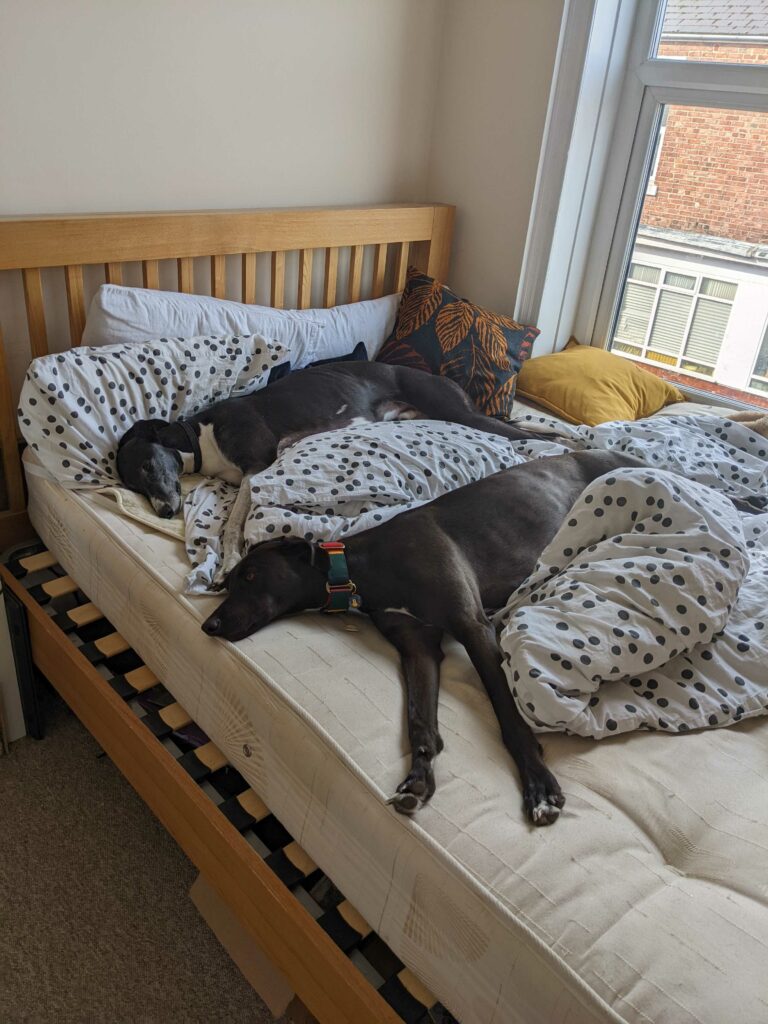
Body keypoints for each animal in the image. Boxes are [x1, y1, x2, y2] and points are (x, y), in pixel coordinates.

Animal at [118, 364, 540, 577]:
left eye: (148, 465)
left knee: (531, 435)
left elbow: (235, 520)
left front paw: (232, 557)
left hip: (457, 411)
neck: (200, 436)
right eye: (134, 485)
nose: (165, 512)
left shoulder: (258, 464)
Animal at [201, 448, 647, 823]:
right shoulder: (418, 647)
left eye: (252, 576)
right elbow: (419, 720)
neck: (365, 566)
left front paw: (539, 786)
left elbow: (508, 715)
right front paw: (418, 778)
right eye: (228, 583)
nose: (209, 626)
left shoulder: (472, 626)